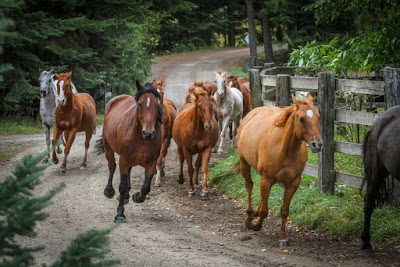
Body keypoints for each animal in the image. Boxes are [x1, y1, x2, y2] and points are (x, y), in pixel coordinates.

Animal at [94, 80, 163, 223]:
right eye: (140, 104)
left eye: (156, 104)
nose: (148, 133)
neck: (141, 137)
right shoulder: (124, 159)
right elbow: (122, 185)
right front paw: (120, 213)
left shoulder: (152, 162)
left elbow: (146, 187)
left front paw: (137, 196)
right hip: (109, 148)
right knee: (112, 166)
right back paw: (109, 191)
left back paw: (126, 196)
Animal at [236, 93, 324, 248]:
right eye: (301, 118)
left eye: (318, 117)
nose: (317, 144)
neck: (285, 150)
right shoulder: (266, 179)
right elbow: (265, 211)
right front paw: (256, 225)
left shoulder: (293, 183)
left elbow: (284, 210)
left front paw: (282, 237)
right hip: (244, 163)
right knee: (249, 186)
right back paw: (249, 217)